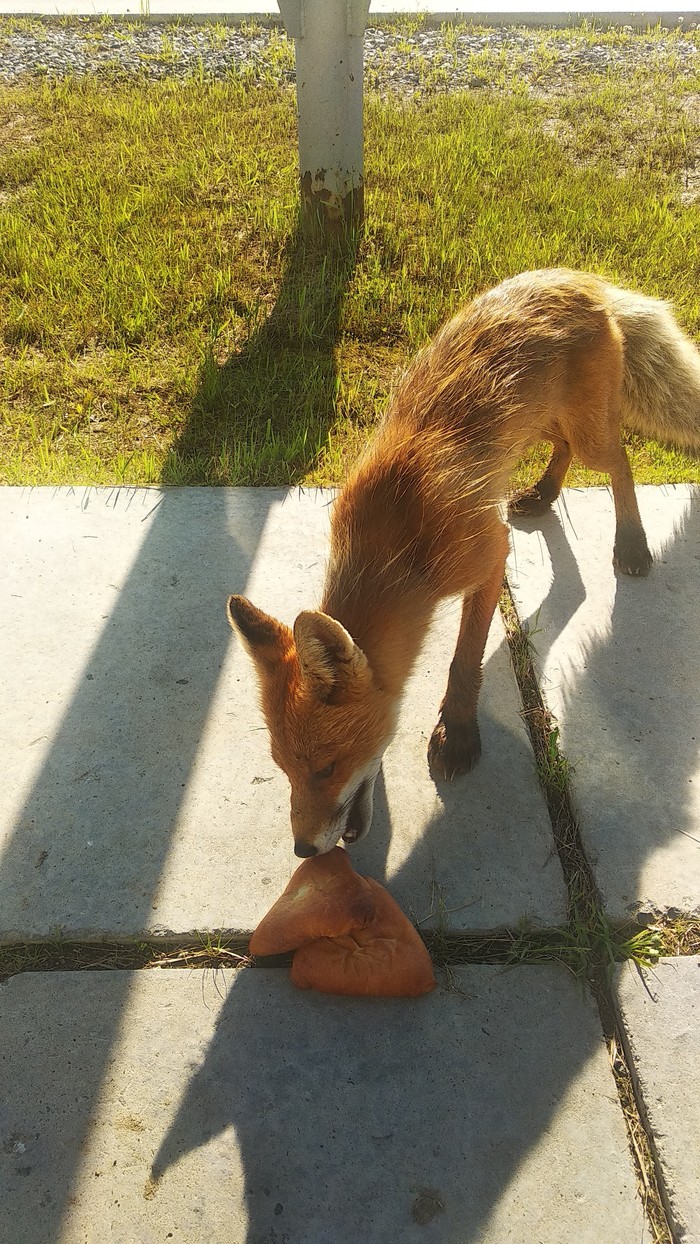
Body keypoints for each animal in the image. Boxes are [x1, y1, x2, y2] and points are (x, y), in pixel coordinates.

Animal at [228, 268, 700, 860]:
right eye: (285, 770)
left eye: (326, 768)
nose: (304, 851)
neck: (395, 543)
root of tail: (575, 277)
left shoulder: (489, 554)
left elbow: (463, 658)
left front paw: (457, 733)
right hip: (543, 423)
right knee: (567, 451)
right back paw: (544, 494)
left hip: (586, 428)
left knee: (620, 461)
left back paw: (632, 543)